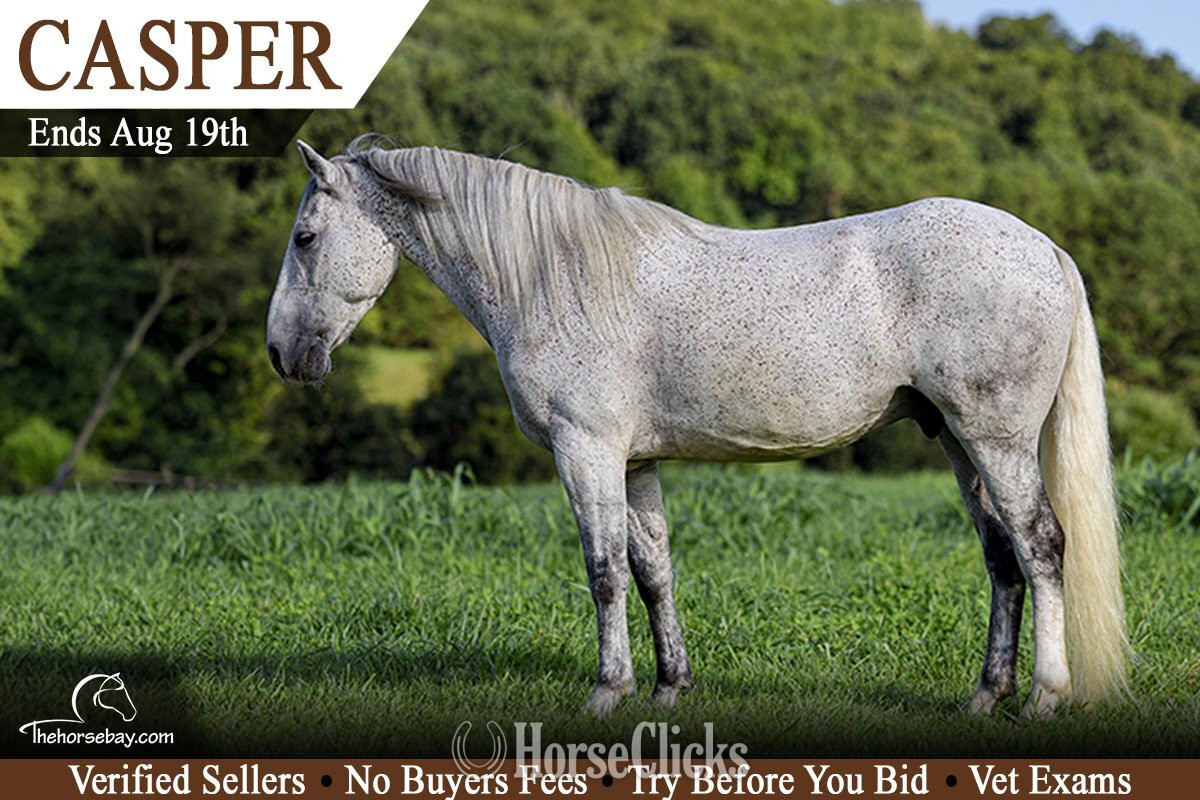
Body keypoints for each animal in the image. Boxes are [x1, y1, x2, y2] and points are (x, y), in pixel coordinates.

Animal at [266, 137, 1129, 718]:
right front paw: (668, 689)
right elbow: (653, 571)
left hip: (996, 440)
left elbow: (604, 572)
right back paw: (985, 697)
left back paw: (1045, 697)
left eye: (305, 237)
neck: (557, 277)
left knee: (1042, 546)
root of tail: (1044, 247)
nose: (282, 353)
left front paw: (606, 692)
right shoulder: (635, 462)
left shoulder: (586, 452)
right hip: (956, 441)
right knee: (1003, 559)